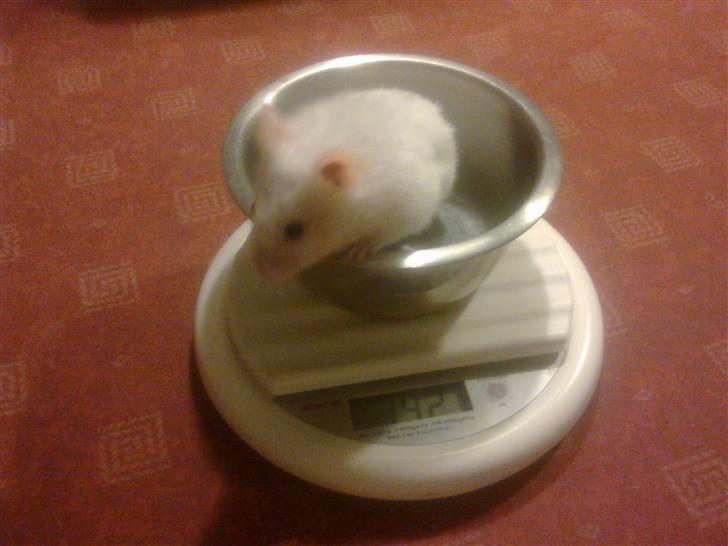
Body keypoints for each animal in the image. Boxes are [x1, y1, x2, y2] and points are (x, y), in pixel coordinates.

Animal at [249, 88, 457, 283]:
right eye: (254, 207)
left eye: (295, 231)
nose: (261, 272)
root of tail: (434, 109)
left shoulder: (405, 214)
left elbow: (377, 237)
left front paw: (355, 254)